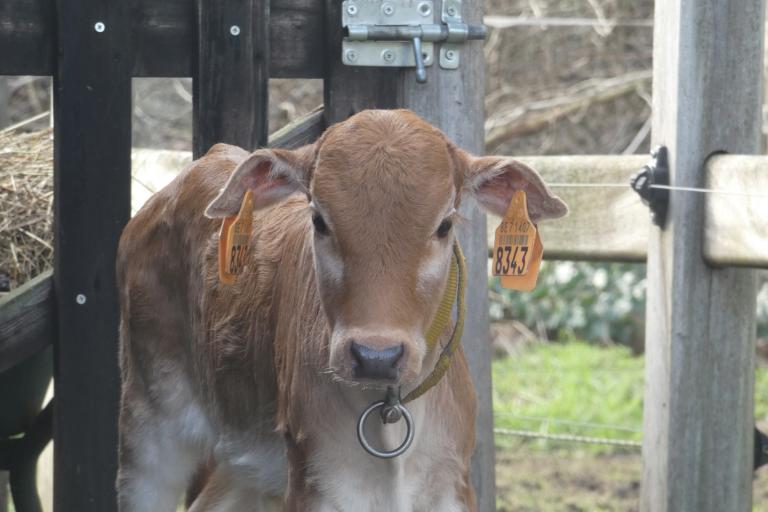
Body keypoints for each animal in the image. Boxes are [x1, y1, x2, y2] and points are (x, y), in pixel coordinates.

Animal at [117, 107, 568, 508]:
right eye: (319, 219)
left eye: (444, 224)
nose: (376, 356)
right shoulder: (316, 485)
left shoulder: (451, 487)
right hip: (146, 428)